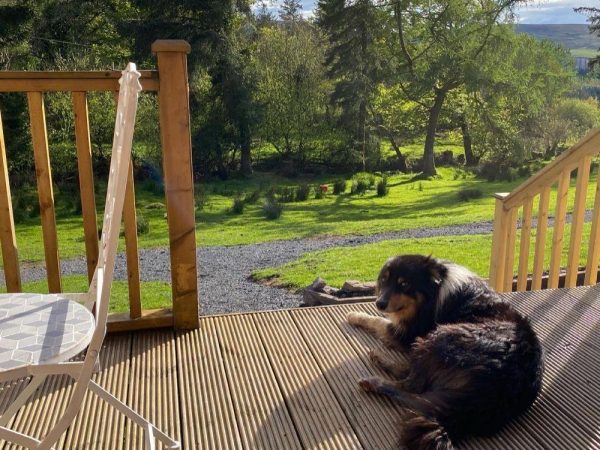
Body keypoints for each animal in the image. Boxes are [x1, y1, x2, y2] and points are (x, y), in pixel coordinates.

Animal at [346, 255, 544, 450]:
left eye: (404, 284)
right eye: (384, 280)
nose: (379, 303)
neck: (436, 288)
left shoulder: (408, 334)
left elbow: (376, 321)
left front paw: (354, 315)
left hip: (440, 335)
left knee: (412, 385)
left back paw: (374, 379)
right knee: (415, 387)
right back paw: (379, 359)